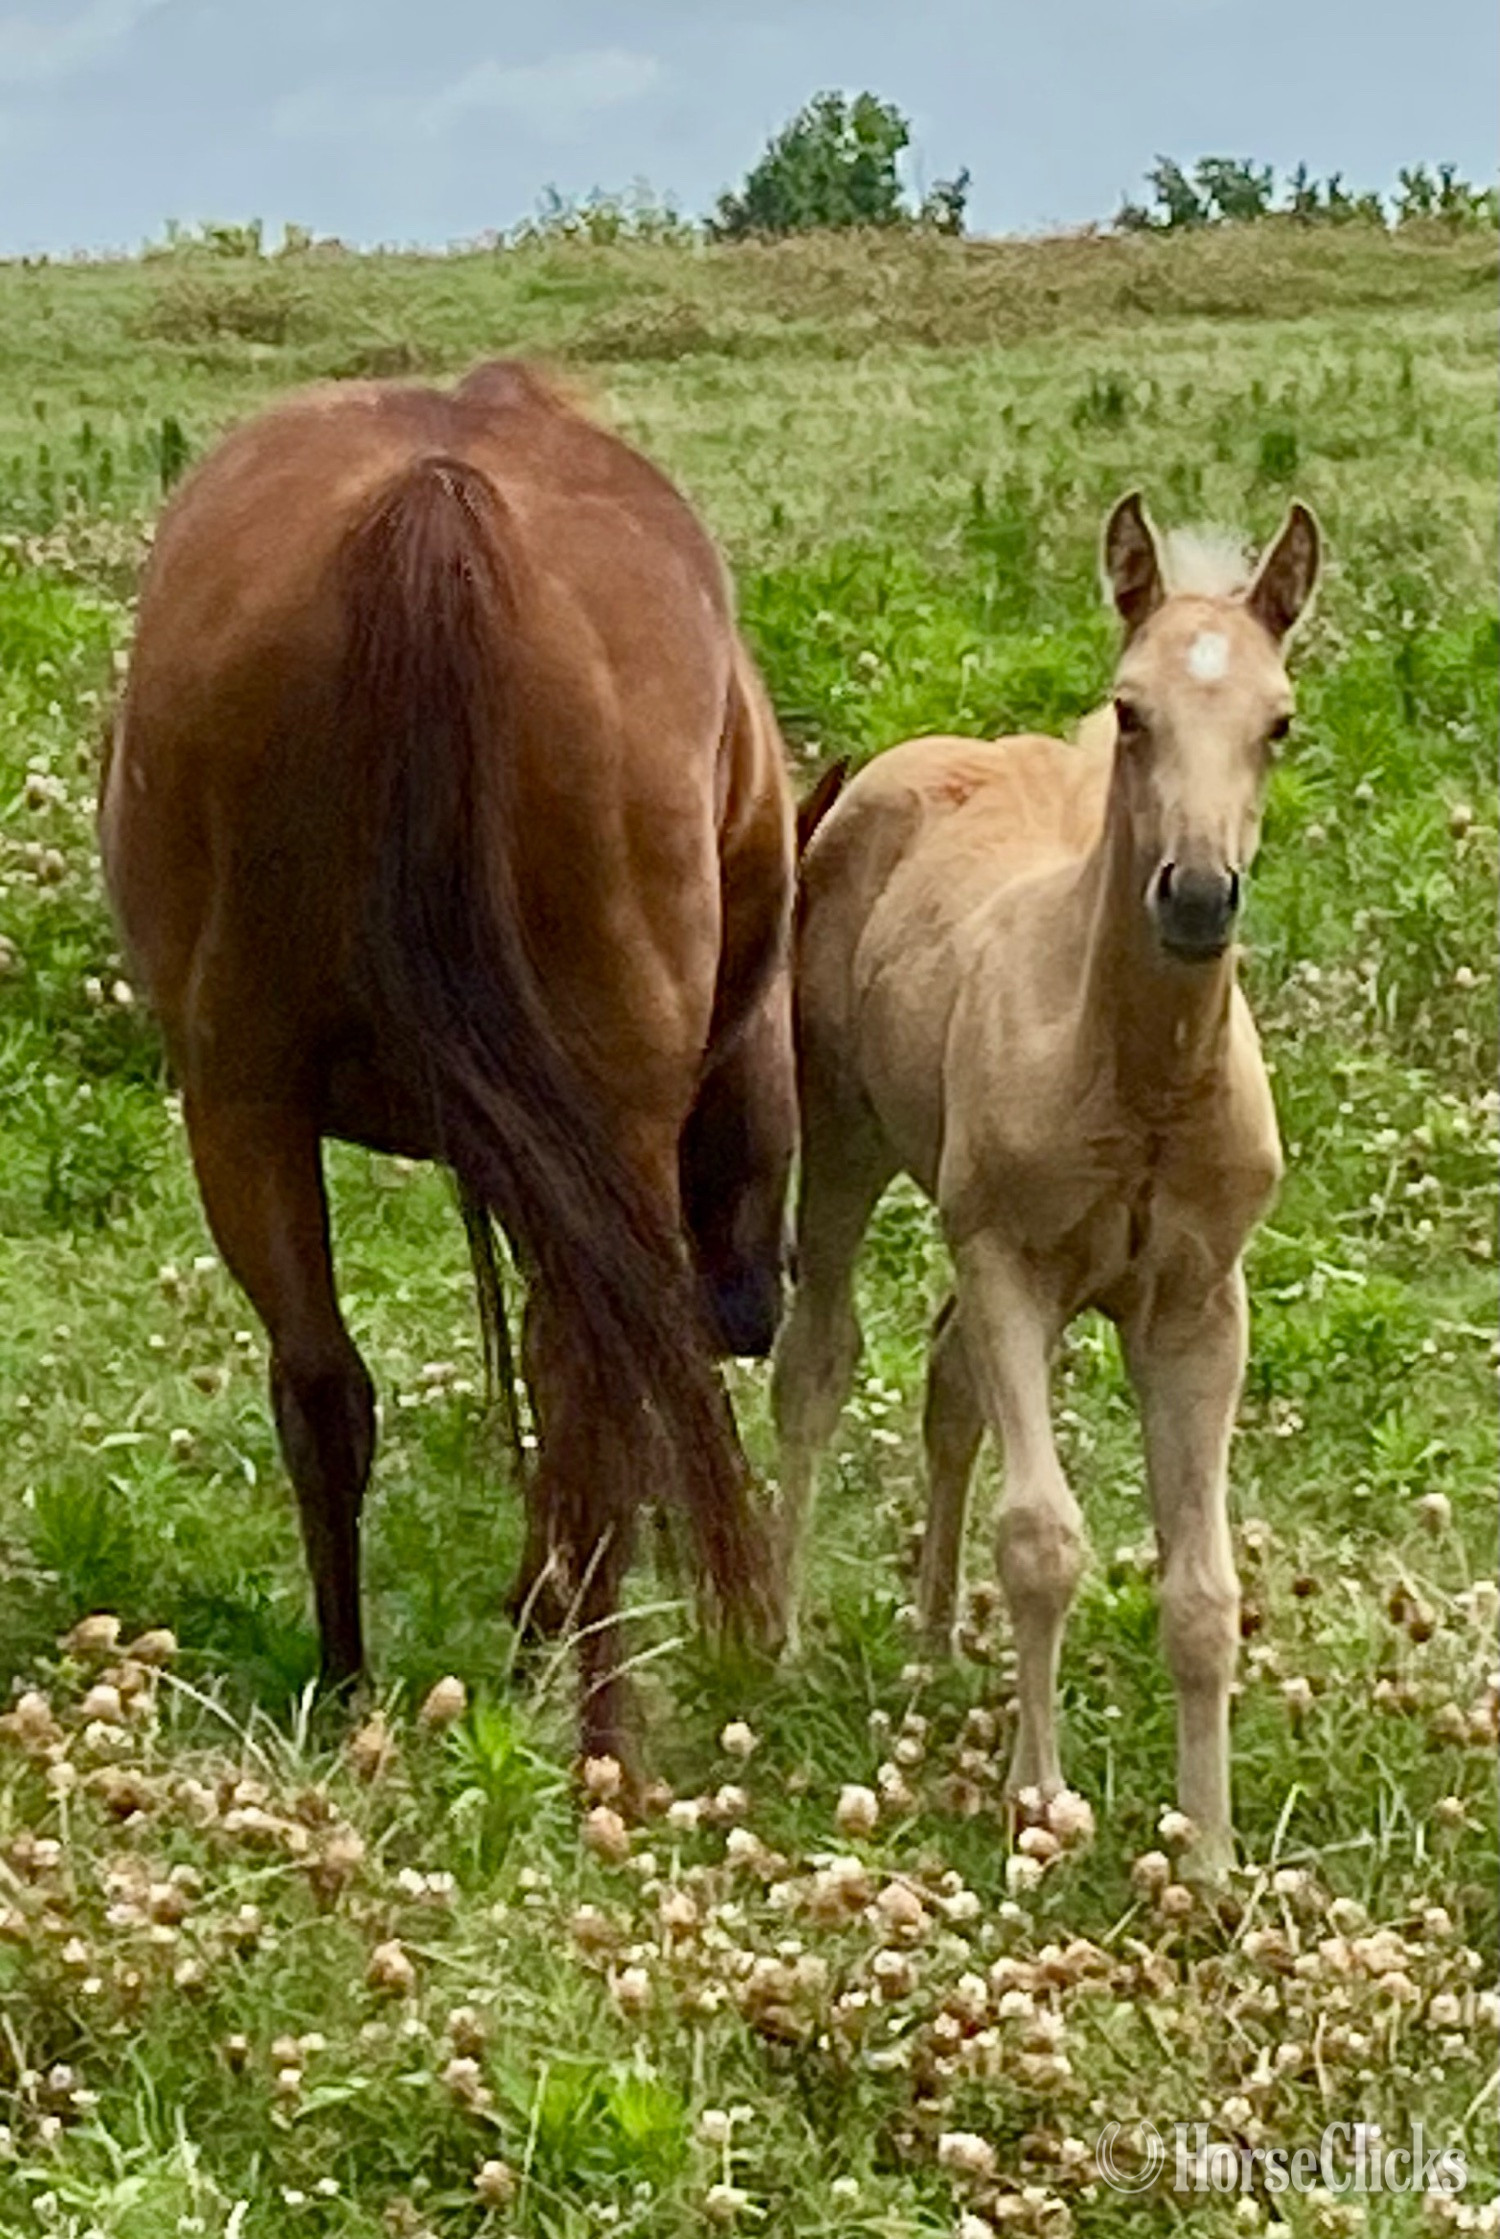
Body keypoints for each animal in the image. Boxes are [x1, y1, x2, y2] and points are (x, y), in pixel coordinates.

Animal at [100, 359, 796, 1764]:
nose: (755, 1310)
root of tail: (435, 513)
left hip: (243, 1097)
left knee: (326, 1388)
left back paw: (351, 1686)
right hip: (605, 1112)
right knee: (592, 1396)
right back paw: (602, 1736)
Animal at [770, 493, 1320, 1874]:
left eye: (1279, 721)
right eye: (1131, 710)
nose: (1197, 895)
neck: (1135, 1079)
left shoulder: (1198, 1304)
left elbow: (1204, 1587)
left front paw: (1209, 1852)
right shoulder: (1007, 1257)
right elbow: (1041, 1538)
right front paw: (1037, 1794)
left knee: (945, 1380)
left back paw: (928, 1644)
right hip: (847, 1144)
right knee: (818, 1363)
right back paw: (783, 1634)